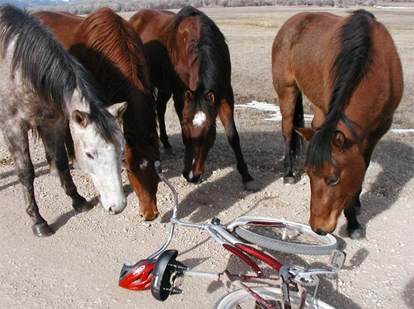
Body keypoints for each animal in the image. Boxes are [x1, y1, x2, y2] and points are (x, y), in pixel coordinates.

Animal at [0, 4, 126, 236]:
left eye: (121, 149)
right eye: (89, 154)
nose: (118, 206)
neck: (19, 69)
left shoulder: (54, 123)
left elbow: (61, 162)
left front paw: (78, 200)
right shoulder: (14, 128)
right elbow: (26, 172)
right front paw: (38, 221)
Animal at [130, 6, 258, 190]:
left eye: (211, 129)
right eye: (184, 126)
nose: (192, 175)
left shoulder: (225, 93)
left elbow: (233, 135)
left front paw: (246, 175)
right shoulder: (180, 95)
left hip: (164, 87)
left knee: (160, 108)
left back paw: (166, 144)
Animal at [272, 9, 404, 236]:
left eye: (333, 179)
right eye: (309, 174)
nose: (317, 228)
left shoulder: (378, 130)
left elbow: (364, 165)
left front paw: (357, 204)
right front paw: (353, 223)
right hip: (287, 90)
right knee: (288, 130)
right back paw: (288, 173)